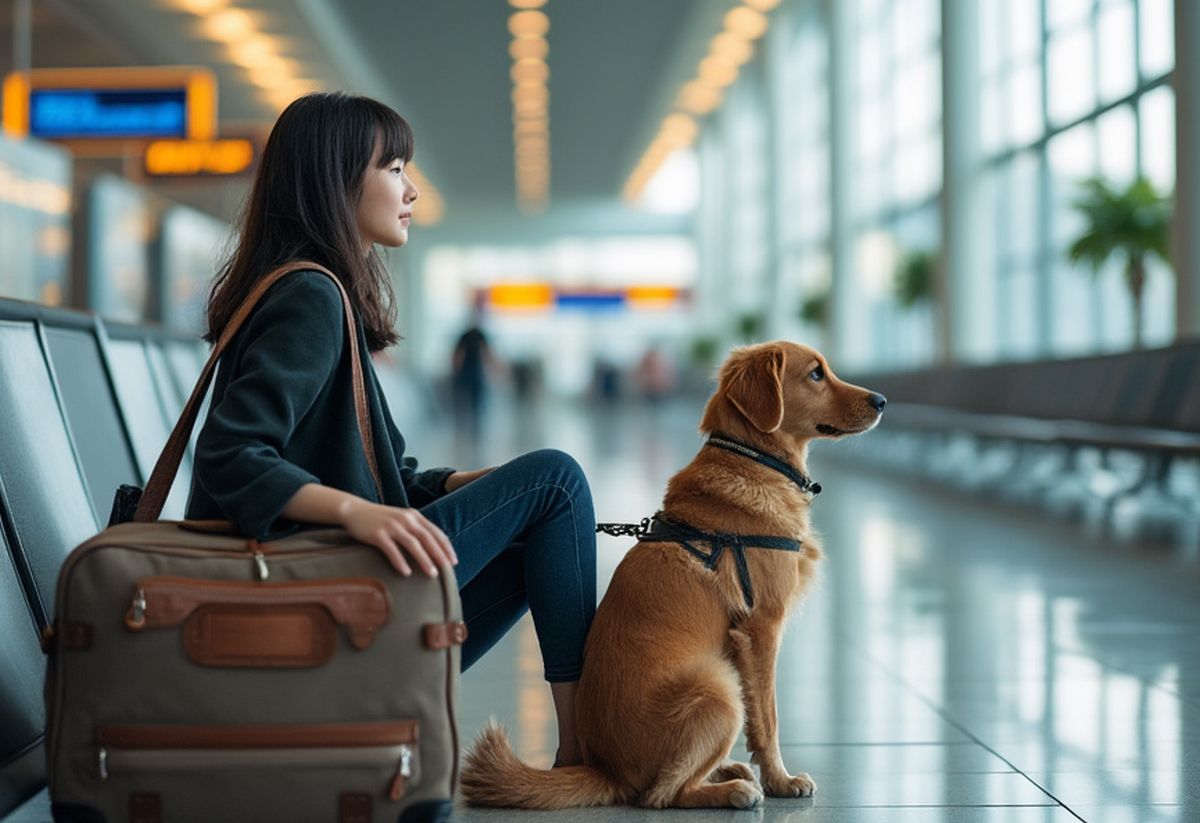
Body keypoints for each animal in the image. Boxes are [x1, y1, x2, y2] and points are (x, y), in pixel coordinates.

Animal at [458, 340, 883, 811]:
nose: (881, 400)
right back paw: (733, 790)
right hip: (718, 691)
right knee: (663, 794)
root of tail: (606, 769)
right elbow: (768, 720)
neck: (755, 462)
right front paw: (780, 780)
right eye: (815, 374)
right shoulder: (762, 628)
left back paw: (727, 770)